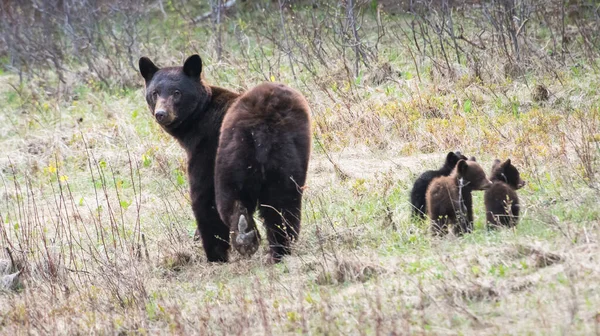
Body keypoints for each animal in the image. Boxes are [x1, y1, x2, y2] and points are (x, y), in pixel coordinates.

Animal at [139, 55, 312, 264]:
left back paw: (244, 235)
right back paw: (279, 249)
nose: (161, 114)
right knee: (283, 200)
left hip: (232, 152)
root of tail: (264, 124)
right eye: (155, 93)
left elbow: (204, 197)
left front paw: (214, 254)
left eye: (177, 92)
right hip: (289, 154)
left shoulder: (205, 147)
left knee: (229, 195)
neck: (198, 119)